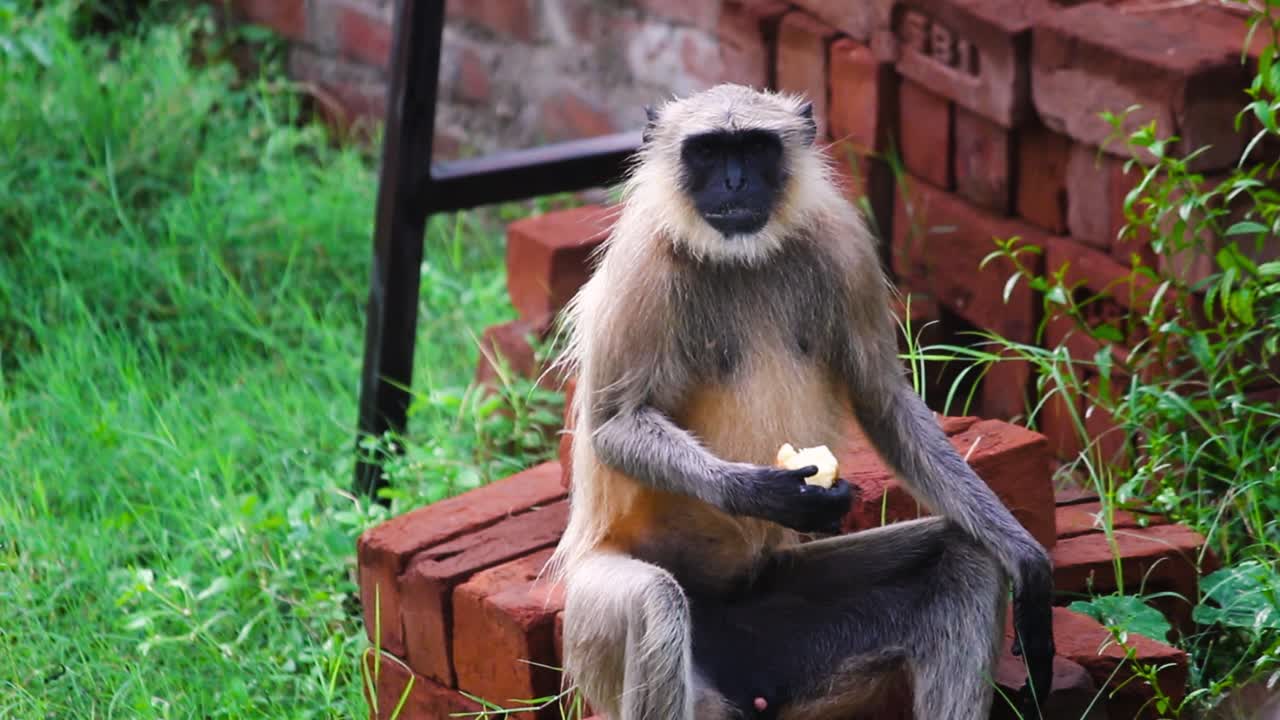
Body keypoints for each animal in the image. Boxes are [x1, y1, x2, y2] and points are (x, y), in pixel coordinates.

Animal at [545, 84, 1054, 720]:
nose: (734, 183)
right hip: (594, 622)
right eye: (708, 152)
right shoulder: (640, 267)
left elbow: (883, 401)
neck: (742, 257)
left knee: (961, 556)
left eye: (754, 148)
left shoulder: (845, 244)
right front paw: (761, 492)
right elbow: (612, 427)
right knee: (656, 602)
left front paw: (1026, 557)